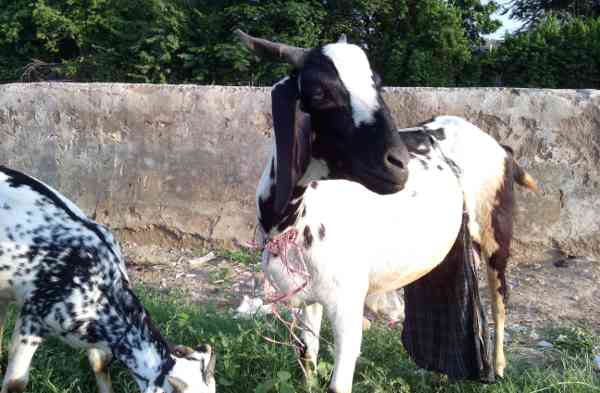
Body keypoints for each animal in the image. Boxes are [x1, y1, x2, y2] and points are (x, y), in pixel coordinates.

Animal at [238, 29, 540, 388]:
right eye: (318, 91)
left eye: (377, 84)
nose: (399, 163)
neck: (299, 217)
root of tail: (501, 148)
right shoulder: (310, 297)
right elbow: (307, 360)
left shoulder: (347, 302)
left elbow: (339, 381)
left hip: (495, 229)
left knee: (500, 297)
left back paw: (498, 368)